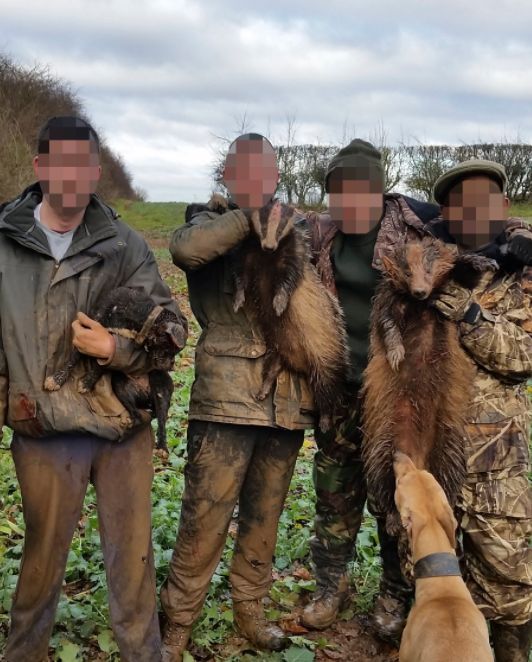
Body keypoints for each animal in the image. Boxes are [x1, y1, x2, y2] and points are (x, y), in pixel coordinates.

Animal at [232, 200, 350, 434]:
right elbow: (242, 275)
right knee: (270, 368)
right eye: (263, 224)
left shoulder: (295, 250)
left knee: (327, 386)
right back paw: (263, 389)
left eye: (279, 229)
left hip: (327, 353)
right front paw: (239, 299)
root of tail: (299, 363)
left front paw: (279, 302)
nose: (269, 246)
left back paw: (325, 419)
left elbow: (289, 277)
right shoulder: (249, 249)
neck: (268, 257)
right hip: (276, 346)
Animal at [360, 236, 496, 532]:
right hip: (383, 439)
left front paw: (481, 261)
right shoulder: (388, 298)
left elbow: (465, 277)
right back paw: (392, 518)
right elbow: (386, 324)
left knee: (449, 472)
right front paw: (396, 354)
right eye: (407, 271)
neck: (419, 306)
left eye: (429, 269)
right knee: (381, 477)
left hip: (448, 439)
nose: (421, 291)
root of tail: (418, 460)